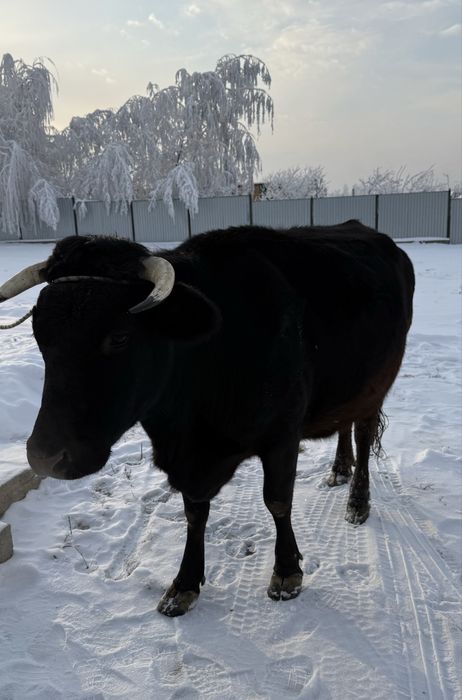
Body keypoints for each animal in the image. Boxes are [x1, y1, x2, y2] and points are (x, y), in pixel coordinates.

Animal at [0, 222, 414, 616]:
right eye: (40, 334)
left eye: (119, 336)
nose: (45, 456)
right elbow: (194, 513)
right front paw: (184, 584)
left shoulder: (282, 435)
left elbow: (278, 501)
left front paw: (286, 572)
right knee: (345, 426)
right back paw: (339, 469)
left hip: (376, 385)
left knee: (363, 435)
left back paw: (357, 501)